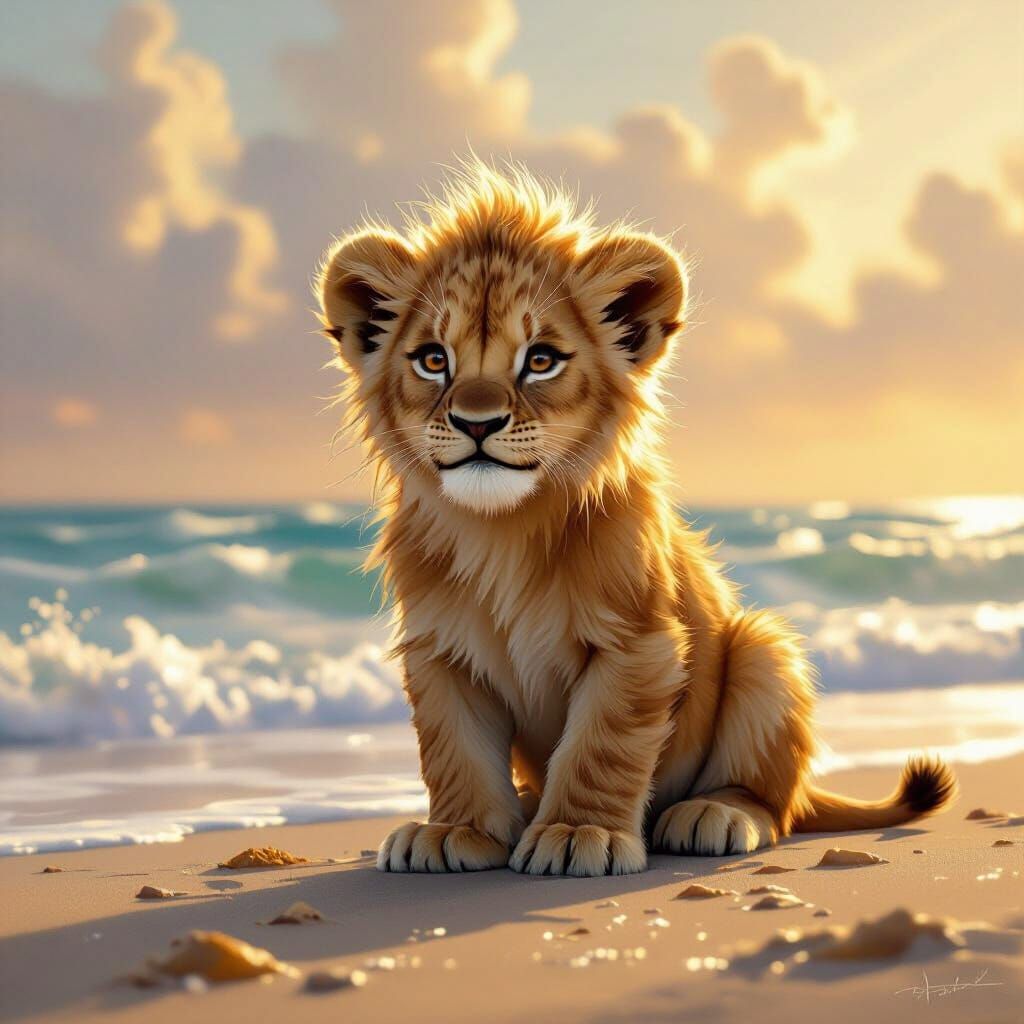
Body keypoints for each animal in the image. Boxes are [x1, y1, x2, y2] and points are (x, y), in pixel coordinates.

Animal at [315, 161, 955, 876]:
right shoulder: (441, 653)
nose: (477, 423)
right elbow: (456, 749)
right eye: (433, 359)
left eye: (540, 360)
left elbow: (601, 744)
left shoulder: (636, 644)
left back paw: (713, 813)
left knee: (771, 800)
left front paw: (575, 833)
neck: (502, 531)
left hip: (763, 647)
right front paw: (458, 830)